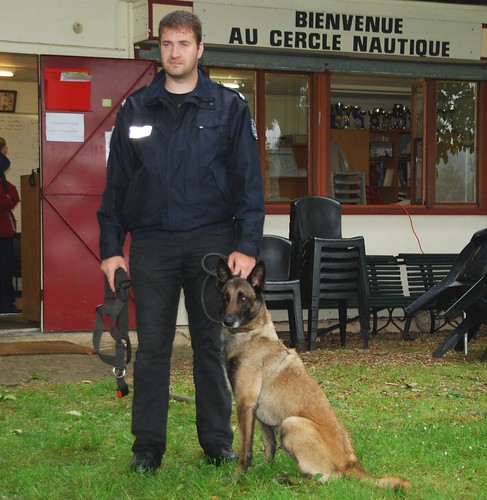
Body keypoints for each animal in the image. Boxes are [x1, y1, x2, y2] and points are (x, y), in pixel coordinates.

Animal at [217, 260, 412, 490]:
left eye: (243, 298)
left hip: (291, 424)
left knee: (326, 480)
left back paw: (289, 479)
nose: (227, 320)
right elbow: (269, 447)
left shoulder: (244, 404)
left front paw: (236, 478)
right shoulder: (258, 413)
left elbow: (245, 450)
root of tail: (352, 463)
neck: (250, 333)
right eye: (225, 296)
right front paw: (261, 470)